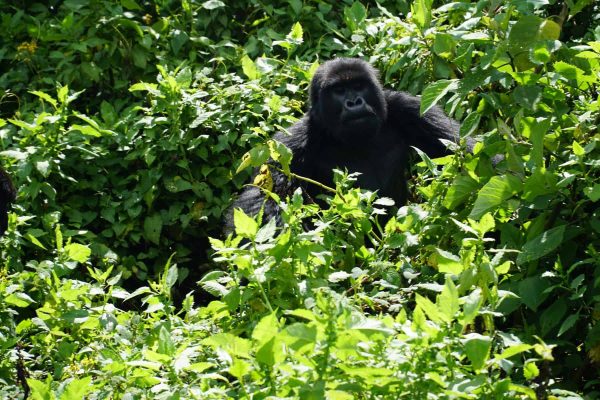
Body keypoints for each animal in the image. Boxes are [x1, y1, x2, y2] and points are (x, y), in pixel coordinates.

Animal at [225, 57, 460, 231]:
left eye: (358, 86)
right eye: (338, 90)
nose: (354, 102)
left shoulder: (409, 108)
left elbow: (460, 151)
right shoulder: (292, 142)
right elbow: (263, 196)